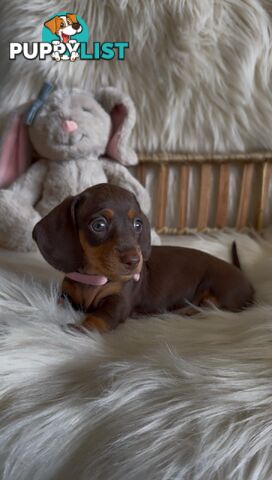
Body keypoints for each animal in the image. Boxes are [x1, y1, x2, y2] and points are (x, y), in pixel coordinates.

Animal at [32, 184, 255, 334]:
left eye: (137, 224)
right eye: (99, 225)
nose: (133, 261)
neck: (94, 277)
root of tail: (243, 275)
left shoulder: (119, 301)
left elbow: (100, 318)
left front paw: (80, 329)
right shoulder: (66, 295)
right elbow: (58, 302)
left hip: (221, 294)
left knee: (211, 307)